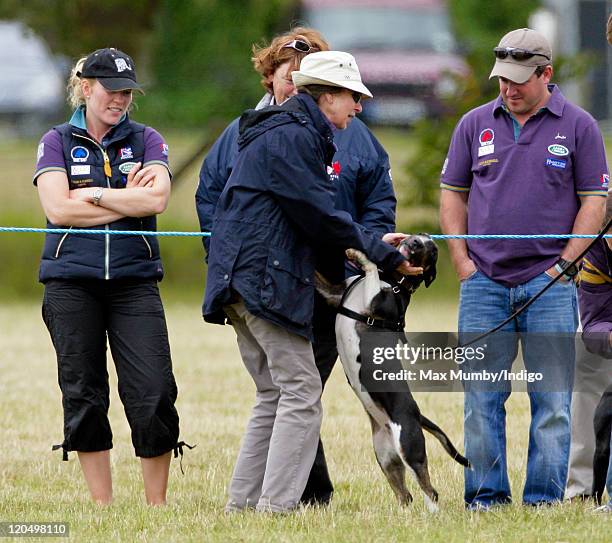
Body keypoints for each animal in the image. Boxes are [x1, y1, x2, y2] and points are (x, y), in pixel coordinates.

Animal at [316, 236, 468, 512]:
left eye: (432, 249)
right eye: (419, 237)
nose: (415, 241)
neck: (395, 283)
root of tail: (417, 415)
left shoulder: (374, 302)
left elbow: (372, 269)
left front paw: (360, 256)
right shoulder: (333, 293)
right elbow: (318, 278)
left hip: (410, 447)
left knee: (429, 489)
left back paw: (433, 513)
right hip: (386, 457)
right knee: (404, 495)